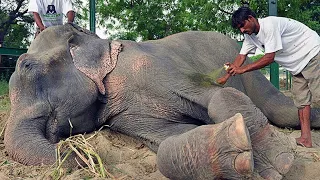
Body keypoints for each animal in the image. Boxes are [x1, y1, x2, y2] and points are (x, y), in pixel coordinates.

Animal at [4, 23, 320, 179]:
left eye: (26, 66)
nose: (79, 157)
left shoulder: (154, 66)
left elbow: (215, 94)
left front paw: (279, 165)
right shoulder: (124, 115)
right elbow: (168, 140)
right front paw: (237, 151)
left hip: (253, 74)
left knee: (283, 111)